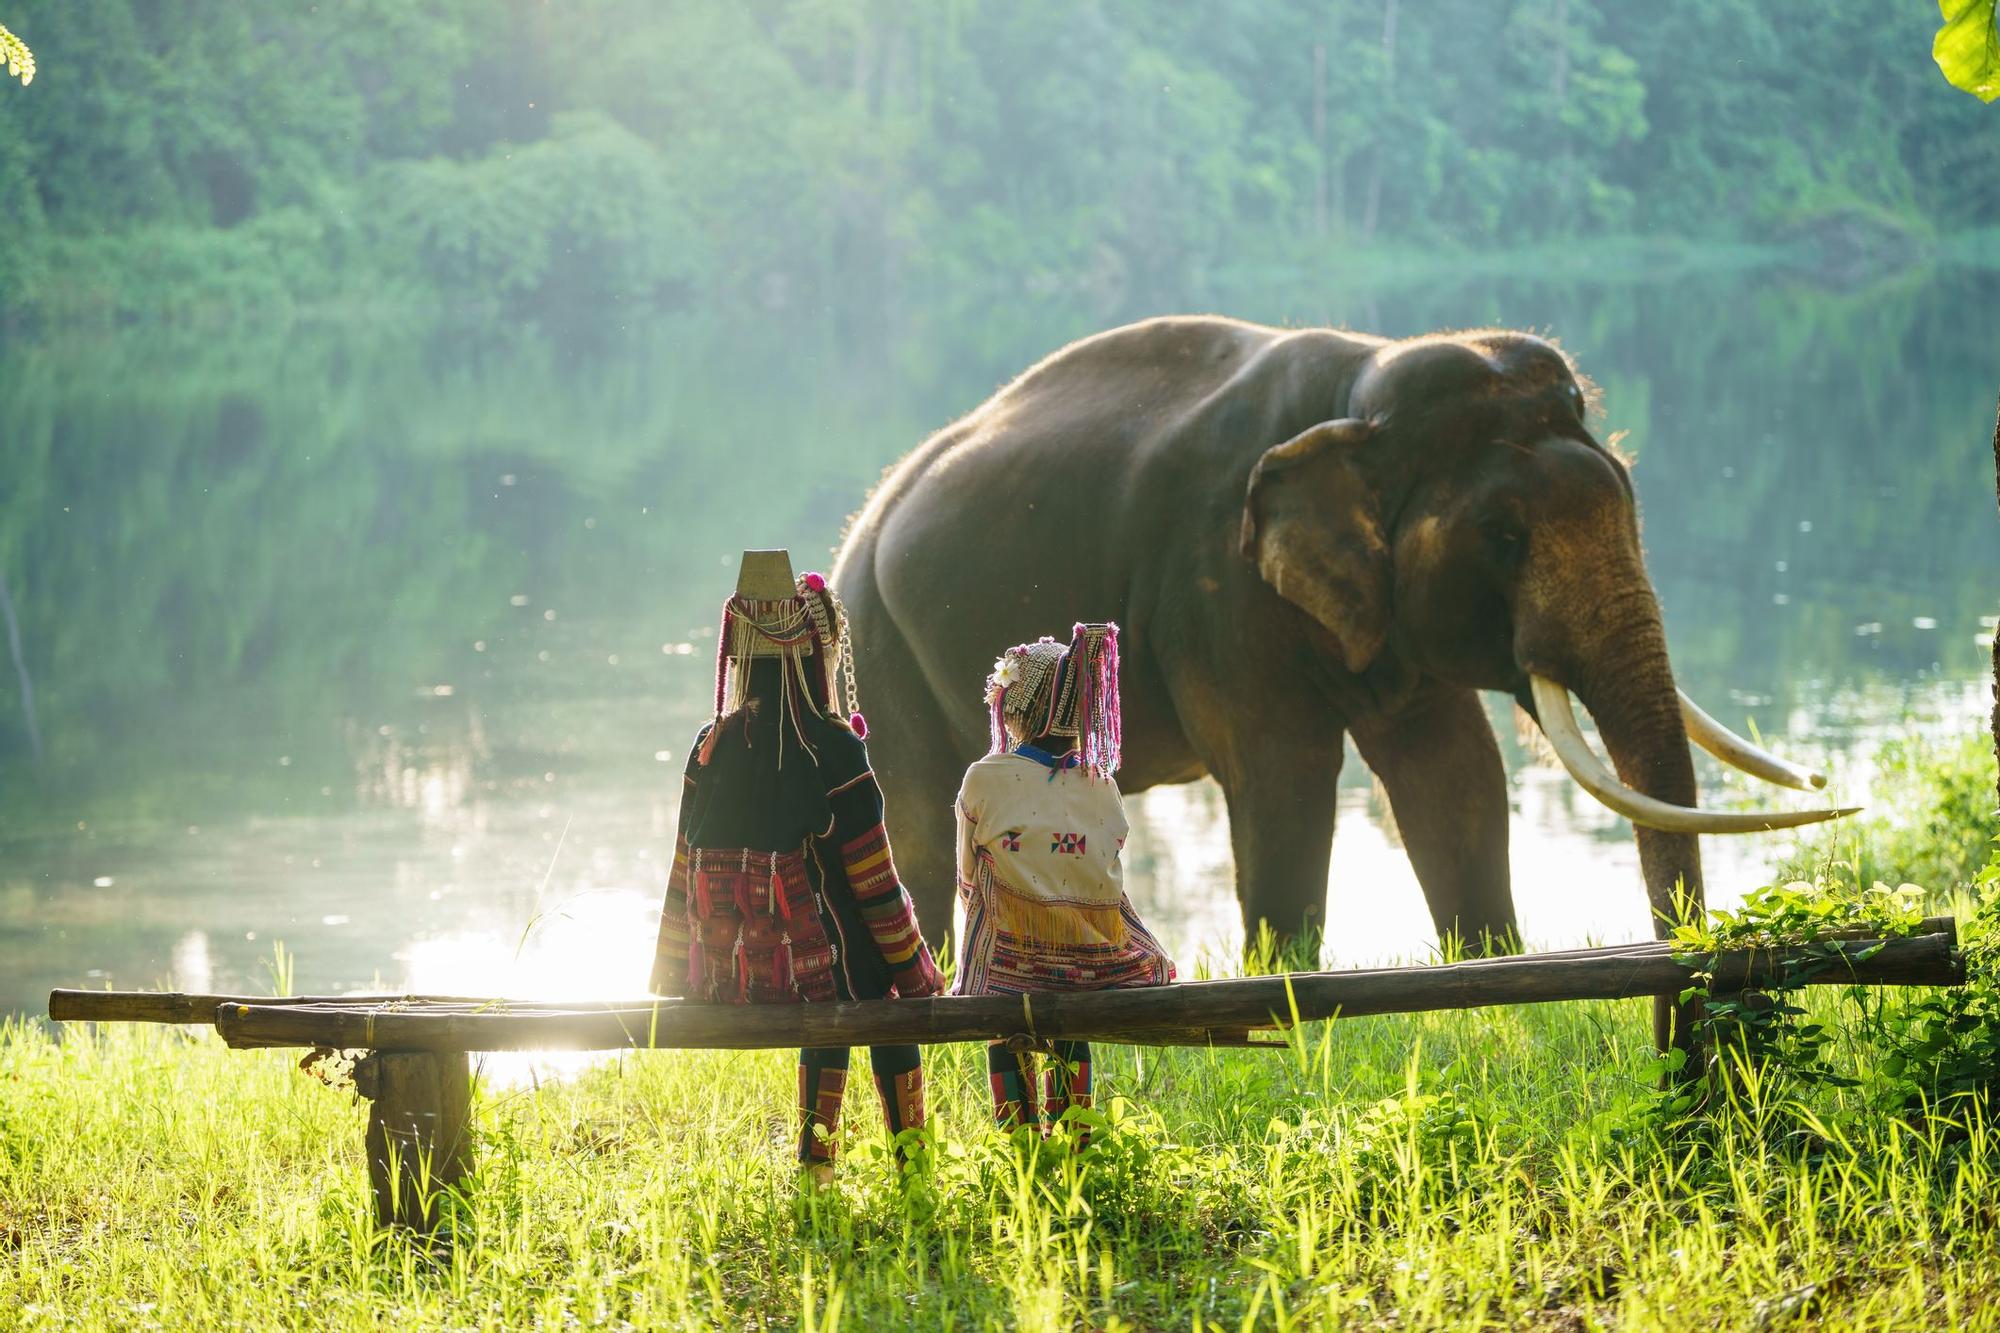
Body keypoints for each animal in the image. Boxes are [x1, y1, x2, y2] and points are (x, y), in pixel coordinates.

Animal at [831, 316, 1852, 1044]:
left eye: (1630, 503)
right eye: (1503, 536)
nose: (1686, 1011)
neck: (1361, 387)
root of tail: (864, 516)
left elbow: (1457, 773)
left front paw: (1492, 968)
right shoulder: (1218, 583)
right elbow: (1284, 775)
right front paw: (1282, 985)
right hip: (875, 649)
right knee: (915, 823)